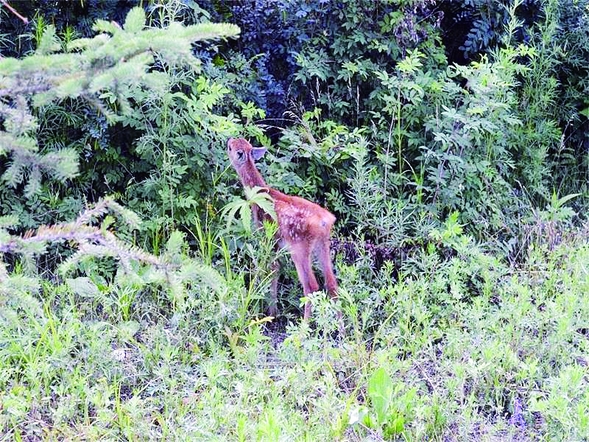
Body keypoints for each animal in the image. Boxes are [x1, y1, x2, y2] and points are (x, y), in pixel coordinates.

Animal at [226, 136, 338, 320]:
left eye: (231, 147)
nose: (229, 138)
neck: (260, 194)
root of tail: (324, 221)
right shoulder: (278, 242)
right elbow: (277, 269)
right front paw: (273, 311)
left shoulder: (266, 234)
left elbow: (269, 268)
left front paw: (269, 311)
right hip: (323, 244)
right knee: (332, 284)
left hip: (300, 247)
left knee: (311, 287)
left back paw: (304, 327)